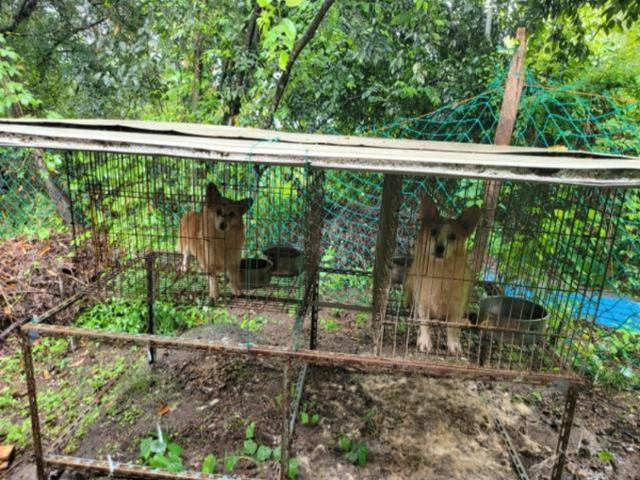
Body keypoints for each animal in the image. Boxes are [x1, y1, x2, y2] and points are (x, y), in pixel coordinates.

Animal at [404, 196, 480, 356]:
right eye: (433, 232)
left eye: (452, 236)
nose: (439, 248)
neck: (440, 272)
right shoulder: (423, 303)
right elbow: (425, 322)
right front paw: (425, 341)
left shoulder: (456, 306)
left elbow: (452, 326)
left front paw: (454, 344)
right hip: (410, 280)